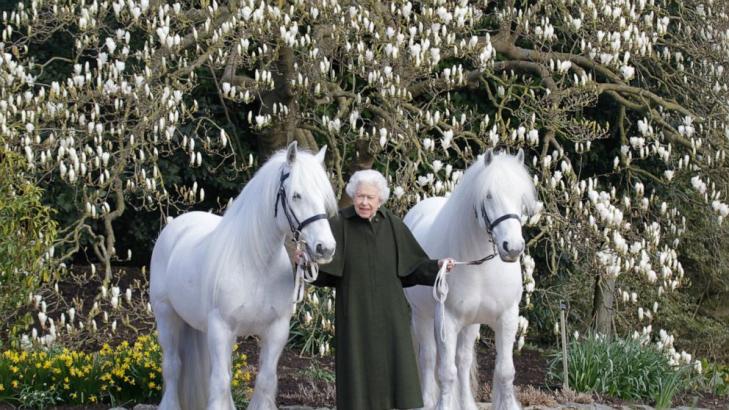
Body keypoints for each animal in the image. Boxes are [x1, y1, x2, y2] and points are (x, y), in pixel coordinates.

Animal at [151, 142, 338, 410]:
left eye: (324, 197)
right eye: (296, 195)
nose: (326, 248)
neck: (255, 263)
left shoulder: (276, 330)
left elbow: (265, 380)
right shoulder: (221, 327)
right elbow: (220, 381)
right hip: (166, 315)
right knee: (173, 366)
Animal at [400, 148, 536, 410]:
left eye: (520, 197)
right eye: (489, 195)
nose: (513, 247)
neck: (481, 267)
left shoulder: (507, 318)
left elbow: (505, 371)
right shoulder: (447, 320)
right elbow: (445, 372)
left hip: (471, 323)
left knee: (462, 361)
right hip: (422, 315)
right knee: (429, 358)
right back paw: (428, 401)